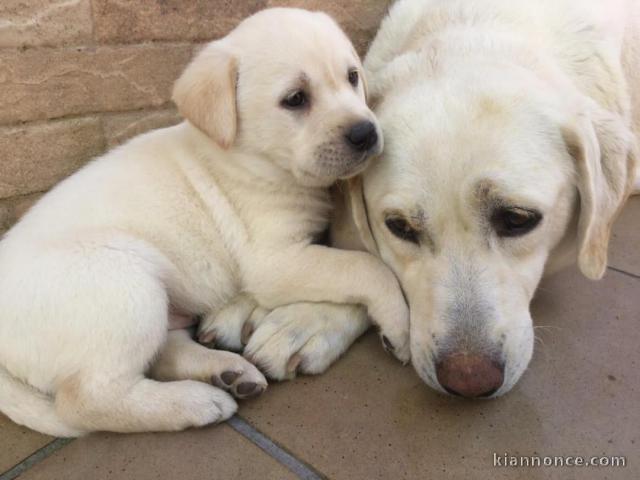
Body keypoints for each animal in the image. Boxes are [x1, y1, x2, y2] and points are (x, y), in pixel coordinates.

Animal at [0, 7, 410, 436]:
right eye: (295, 99)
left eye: (352, 77)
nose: (366, 132)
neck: (253, 160)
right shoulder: (274, 261)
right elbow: (366, 266)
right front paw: (399, 325)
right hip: (127, 287)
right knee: (87, 400)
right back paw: (195, 403)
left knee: (163, 354)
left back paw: (226, 372)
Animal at [219, 0, 636, 398]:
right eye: (400, 227)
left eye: (518, 219)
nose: (469, 380)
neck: (476, 29)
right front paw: (298, 312)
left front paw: (308, 318)